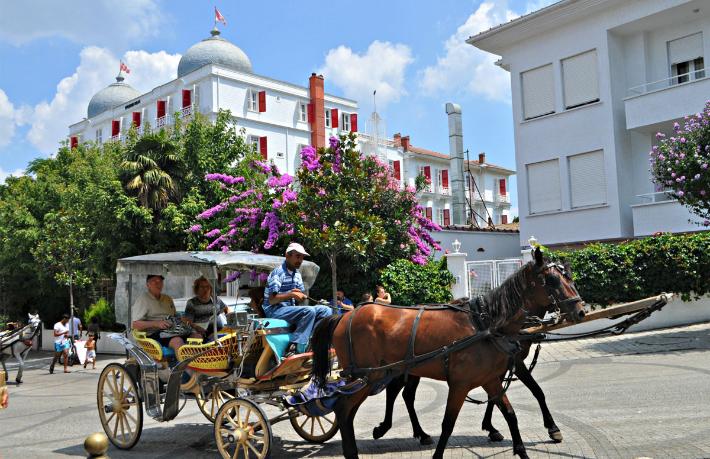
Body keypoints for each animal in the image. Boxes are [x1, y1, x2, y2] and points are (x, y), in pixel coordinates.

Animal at [314, 250, 588, 458]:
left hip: (386, 373)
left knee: (380, 402)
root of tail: (345, 315)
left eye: (569, 277)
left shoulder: (491, 377)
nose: (581, 311)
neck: (486, 324)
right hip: (367, 376)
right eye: (551, 281)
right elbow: (448, 424)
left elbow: (510, 414)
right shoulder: (461, 384)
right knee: (345, 408)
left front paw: (513, 443)